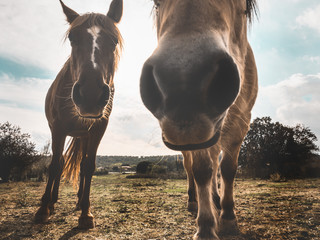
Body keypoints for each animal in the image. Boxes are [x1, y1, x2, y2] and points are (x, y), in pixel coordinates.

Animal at [34, 0, 122, 229]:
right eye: (72, 38)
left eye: (114, 40)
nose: (90, 94)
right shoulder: (57, 128)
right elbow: (55, 165)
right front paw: (43, 209)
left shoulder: (98, 129)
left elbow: (89, 167)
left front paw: (86, 213)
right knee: (60, 163)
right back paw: (52, 201)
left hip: (84, 136)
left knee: (82, 165)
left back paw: (80, 201)